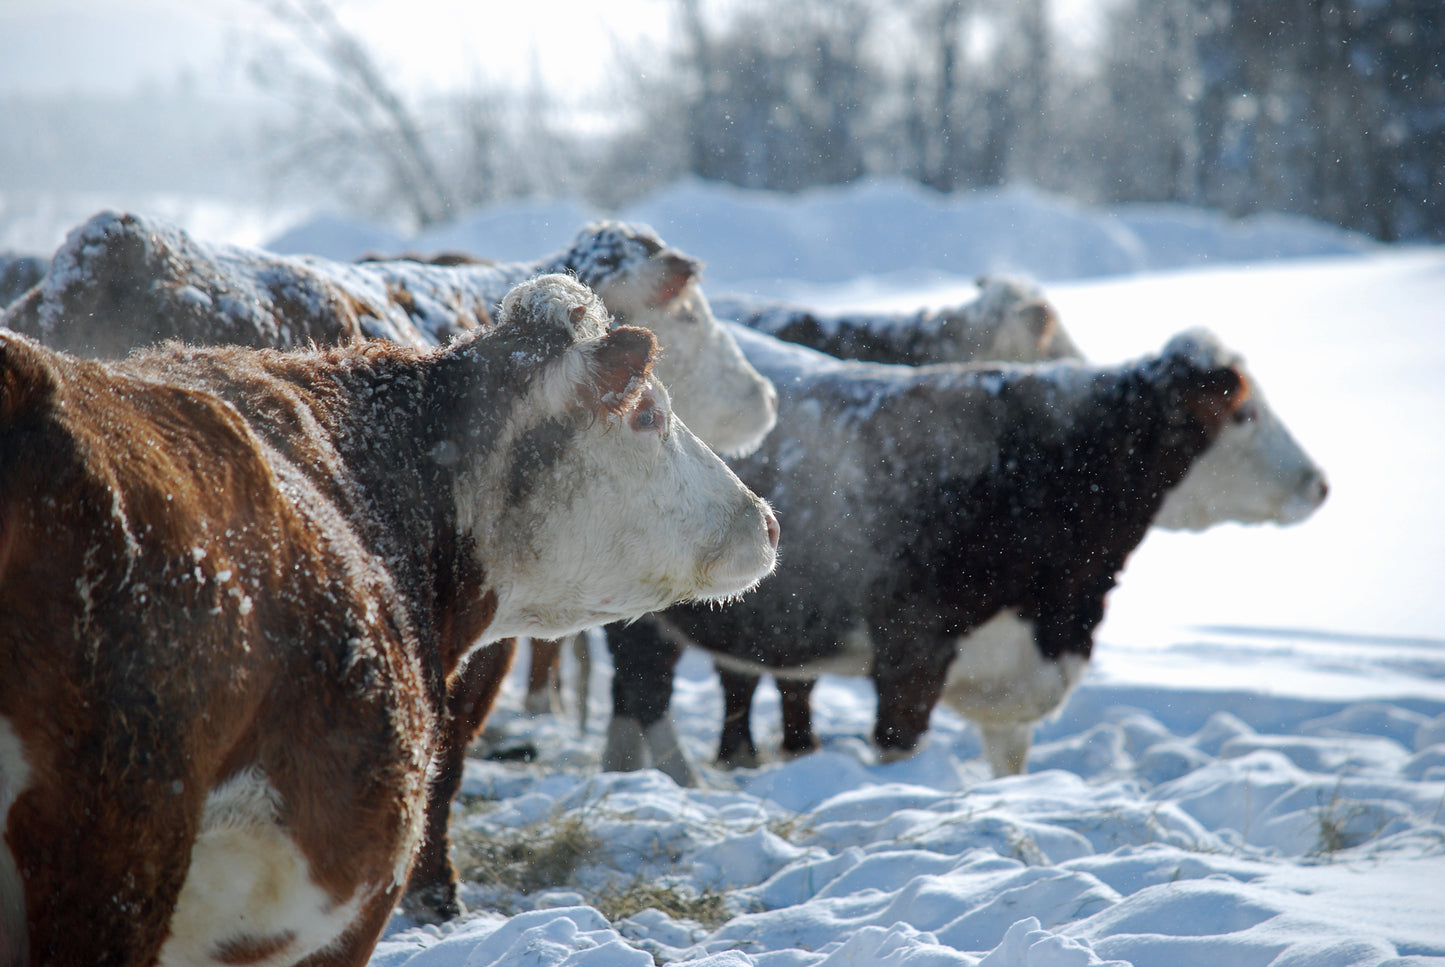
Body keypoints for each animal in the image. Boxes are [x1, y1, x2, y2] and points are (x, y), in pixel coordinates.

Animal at [604, 323, 1323, 786]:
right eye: (1245, 414)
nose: (1319, 483)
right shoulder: (911, 651)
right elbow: (901, 749)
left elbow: (1009, 766)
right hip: (643, 614)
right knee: (646, 692)